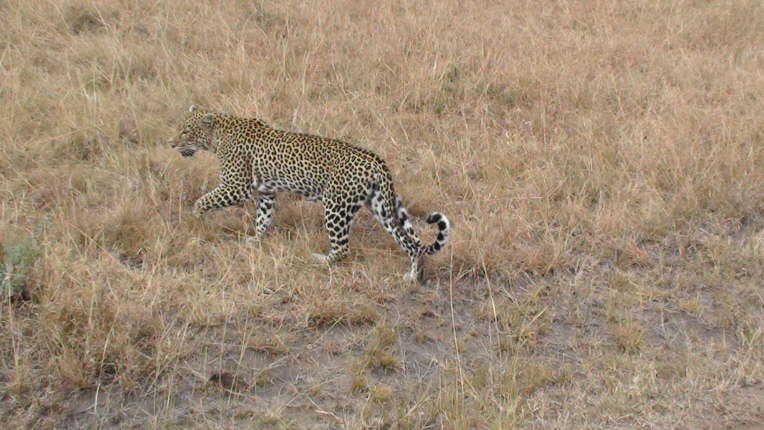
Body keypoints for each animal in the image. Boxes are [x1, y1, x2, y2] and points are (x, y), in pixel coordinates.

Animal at [170, 105, 451, 283]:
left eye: (186, 131)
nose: (171, 144)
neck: (217, 135)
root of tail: (376, 161)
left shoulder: (235, 186)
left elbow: (203, 200)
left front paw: (196, 220)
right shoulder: (265, 192)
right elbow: (262, 219)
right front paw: (255, 240)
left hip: (336, 205)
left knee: (343, 248)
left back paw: (321, 260)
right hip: (381, 206)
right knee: (410, 242)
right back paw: (413, 276)